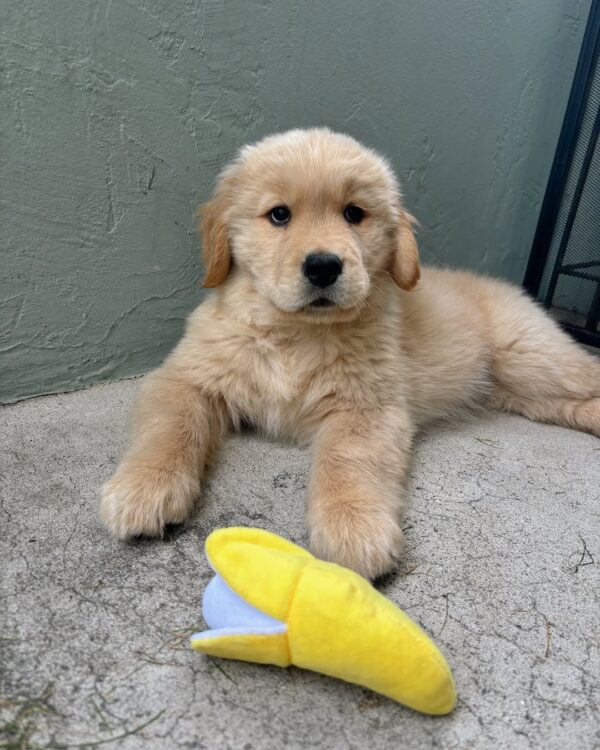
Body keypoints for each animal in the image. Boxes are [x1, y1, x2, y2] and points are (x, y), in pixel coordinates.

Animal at [99, 126, 600, 580]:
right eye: (279, 215)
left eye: (354, 214)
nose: (323, 266)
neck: (295, 334)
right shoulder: (184, 377)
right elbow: (170, 426)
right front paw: (144, 487)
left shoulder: (369, 407)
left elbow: (348, 459)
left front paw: (353, 528)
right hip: (523, 391)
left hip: (532, 358)